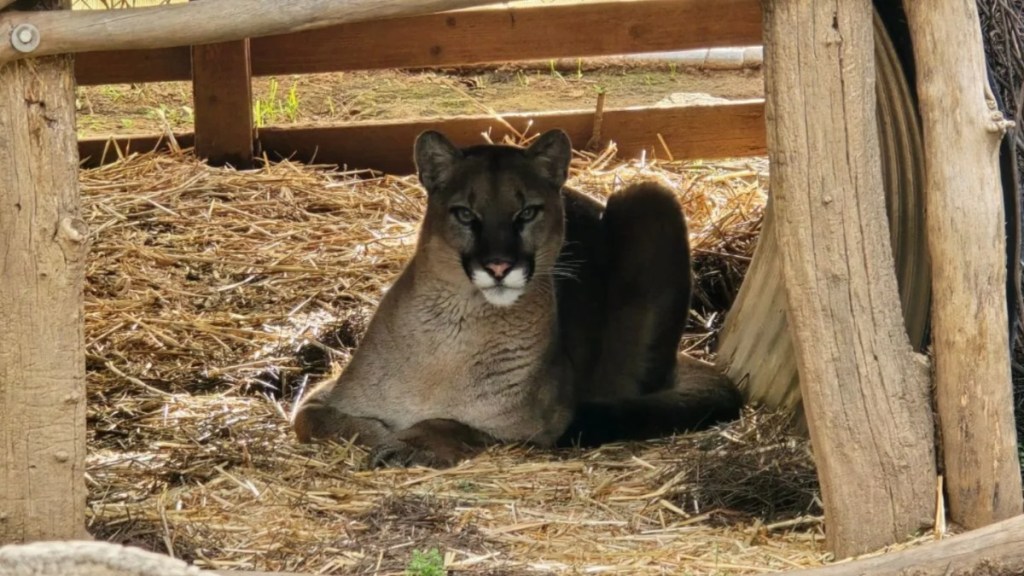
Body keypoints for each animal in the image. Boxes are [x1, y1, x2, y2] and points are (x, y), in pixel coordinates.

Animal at [292, 127, 741, 463]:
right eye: (465, 214)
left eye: (527, 213)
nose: (498, 266)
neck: (451, 339)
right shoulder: (322, 395)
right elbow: (316, 421)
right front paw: (377, 435)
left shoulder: (535, 424)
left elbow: (452, 424)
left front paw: (408, 443)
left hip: (649, 199)